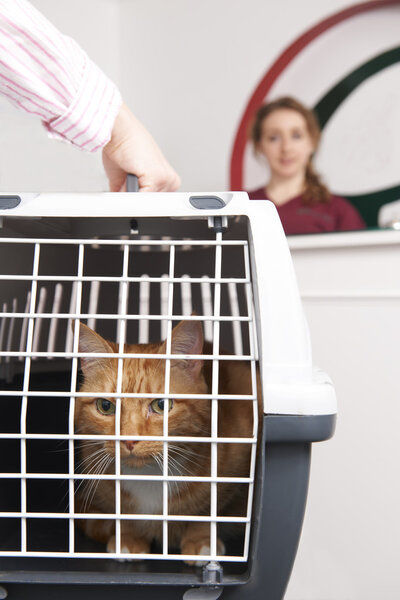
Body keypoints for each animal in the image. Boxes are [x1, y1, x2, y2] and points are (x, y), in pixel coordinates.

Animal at [73, 322, 258, 560]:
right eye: (105, 407)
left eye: (161, 405)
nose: (129, 440)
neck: (149, 476)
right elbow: (121, 513)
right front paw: (128, 539)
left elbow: (208, 510)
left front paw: (201, 541)